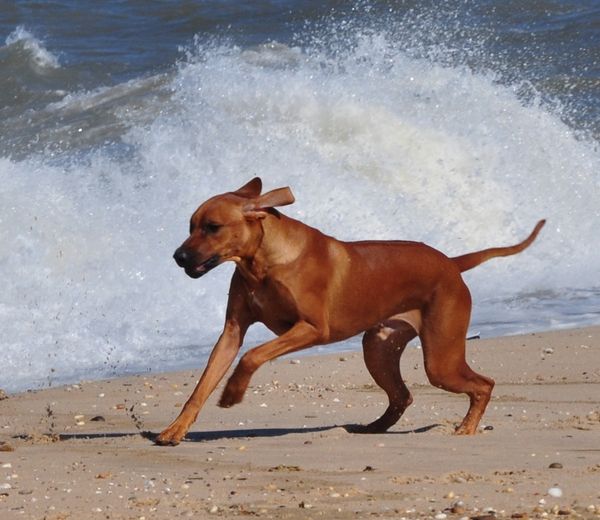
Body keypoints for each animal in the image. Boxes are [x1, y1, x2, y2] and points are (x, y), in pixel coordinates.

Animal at [154, 177, 544, 444]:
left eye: (212, 228)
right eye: (191, 226)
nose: (177, 257)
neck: (262, 263)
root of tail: (451, 263)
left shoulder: (313, 328)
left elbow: (253, 355)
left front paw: (233, 391)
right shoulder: (232, 331)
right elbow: (202, 386)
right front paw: (176, 429)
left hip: (440, 359)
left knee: (483, 384)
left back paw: (466, 427)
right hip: (379, 347)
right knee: (402, 395)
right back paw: (372, 428)